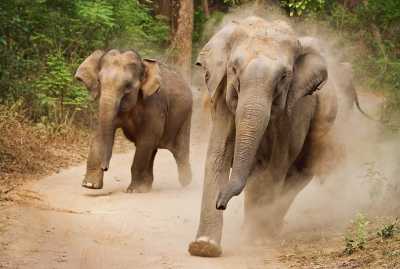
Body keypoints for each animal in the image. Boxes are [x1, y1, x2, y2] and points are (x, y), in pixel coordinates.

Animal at [76, 49, 194, 192]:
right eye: (99, 81)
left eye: (128, 86)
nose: (105, 167)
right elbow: (99, 135)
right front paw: (89, 185)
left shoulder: (154, 105)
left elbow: (147, 138)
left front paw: (134, 190)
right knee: (153, 150)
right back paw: (147, 186)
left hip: (185, 115)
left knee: (179, 150)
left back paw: (186, 182)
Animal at [186, 16, 352, 255]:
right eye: (233, 68)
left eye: (283, 77)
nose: (221, 203)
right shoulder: (223, 98)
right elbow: (218, 156)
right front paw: (204, 247)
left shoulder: (292, 111)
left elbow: (274, 165)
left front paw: (256, 241)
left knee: (298, 172)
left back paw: (267, 231)